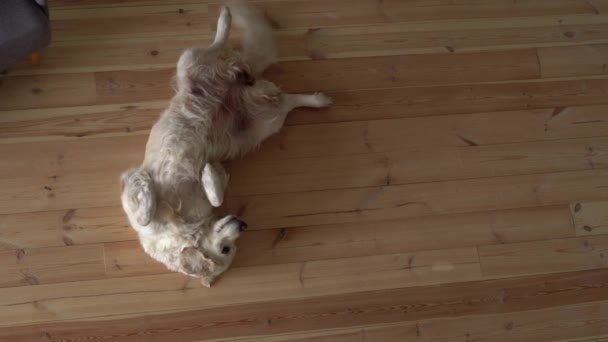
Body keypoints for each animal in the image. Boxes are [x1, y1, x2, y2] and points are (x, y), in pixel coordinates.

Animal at [119, 2, 332, 288]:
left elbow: (215, 197)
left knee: (217, 44)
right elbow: (144, 214)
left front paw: (207, 175)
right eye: (226, 249)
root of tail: (238, 81)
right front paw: (154, 190)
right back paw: (318, 100)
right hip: (262, 124)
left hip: (192, 63)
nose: (243, 224)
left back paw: (226, 16)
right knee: (289, 100)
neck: (183, 225)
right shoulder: (132, 196)